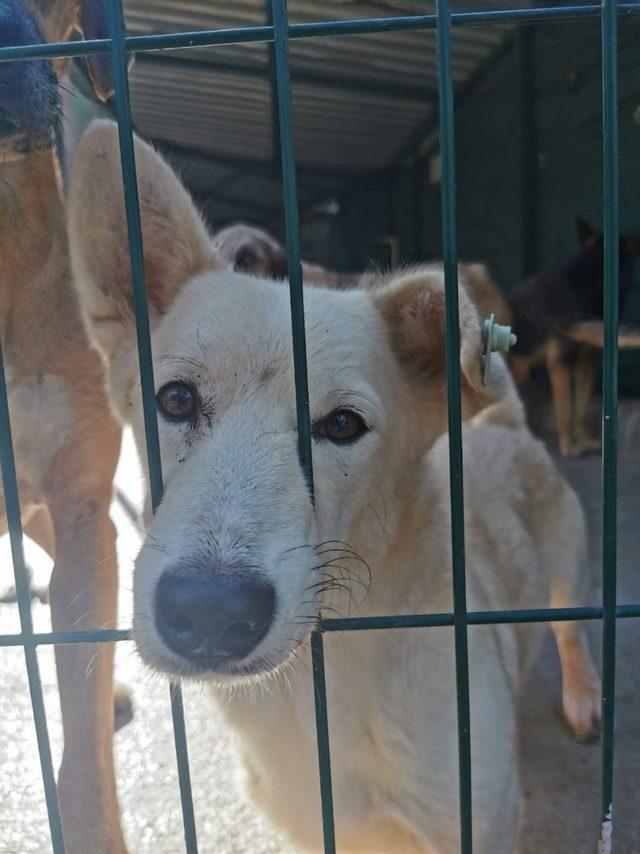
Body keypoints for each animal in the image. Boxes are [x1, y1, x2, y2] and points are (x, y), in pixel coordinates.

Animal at [69, 122, 600, 854]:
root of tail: (503, 421)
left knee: (573, 633)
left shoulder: (482, 823)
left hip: (569, 572)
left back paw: (582, 697)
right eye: (174, 399)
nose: (208, 611)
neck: (318, 693)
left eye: (343, 424)